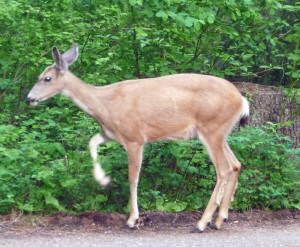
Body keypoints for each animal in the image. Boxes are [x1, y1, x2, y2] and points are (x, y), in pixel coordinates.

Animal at [27, 44, 250, 232]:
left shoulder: (135, 137)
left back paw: (202, 223)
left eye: (47, 78)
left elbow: (133, 178)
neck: (104, 104)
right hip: (221, 132)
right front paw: (103, 179)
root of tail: (242, 100)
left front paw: (132, 219)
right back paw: (220, 219)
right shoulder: (111, 134)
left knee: (224, 169)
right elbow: (91, 142)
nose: (29, 98)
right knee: (236, 164)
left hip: (211, 128)